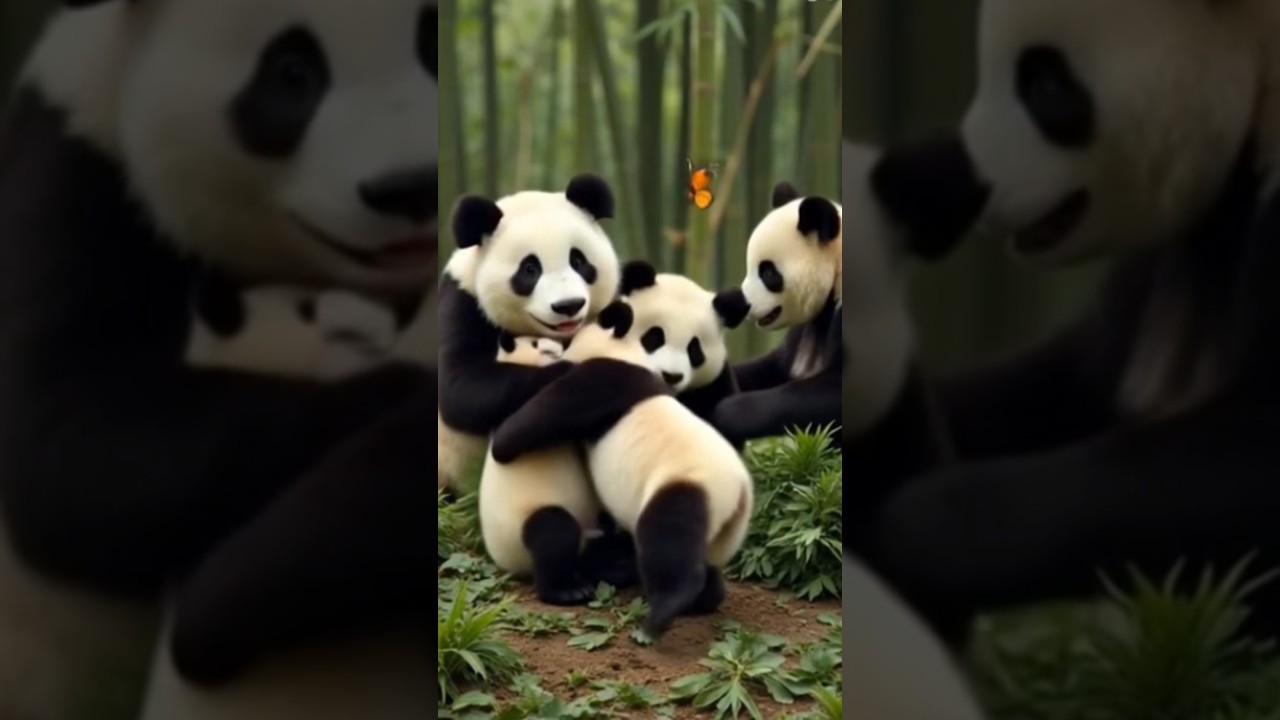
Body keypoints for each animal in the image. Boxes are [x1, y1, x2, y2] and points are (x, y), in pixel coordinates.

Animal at [490, 302, 753, 639]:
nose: (552, 348)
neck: (626, 350)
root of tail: (738, 497)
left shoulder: (606, 379)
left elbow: (544, 417)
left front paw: (503, 443)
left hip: (687, 484)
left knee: (668, 539)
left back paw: (660, 612)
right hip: (721, 534)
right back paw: (700, 600)